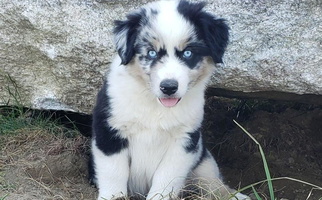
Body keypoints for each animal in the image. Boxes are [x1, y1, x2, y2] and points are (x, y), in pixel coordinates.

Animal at [89, 0, 250, 200]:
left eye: (188, 53)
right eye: (151, 53)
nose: (169, 87)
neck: (156, 106)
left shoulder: (185, 139)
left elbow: (167, 176)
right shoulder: (109, 129)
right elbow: (114, 173)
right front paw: (113, 196)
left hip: (203, 161)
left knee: (212, 182)